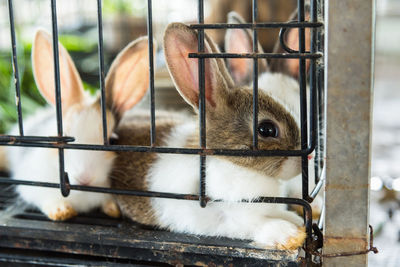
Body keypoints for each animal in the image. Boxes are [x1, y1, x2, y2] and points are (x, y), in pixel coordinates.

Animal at [7, 29, 155, 222]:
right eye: (58, 139)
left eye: (112, 141)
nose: (85, 177)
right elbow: (47, 201)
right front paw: (62, 212)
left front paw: (113, 209)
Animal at [111, 23, 304, 251]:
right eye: (267, 129)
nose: (308, 158)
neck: (231, 164)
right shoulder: (230, 216)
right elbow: (258, 224)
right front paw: (290, 235)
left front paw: (298, 222)